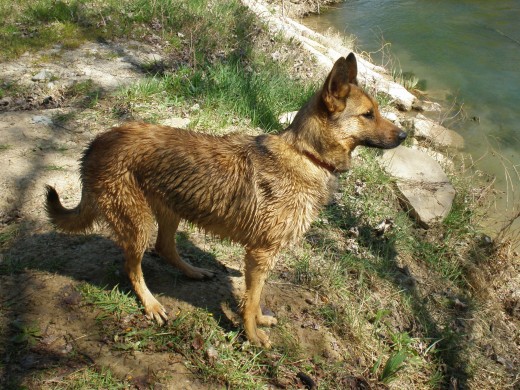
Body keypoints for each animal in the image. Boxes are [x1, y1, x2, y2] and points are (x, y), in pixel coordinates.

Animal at [45, 52, 406, 348]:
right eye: (369, 114)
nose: (404, 136)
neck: (308, 155)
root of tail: (95, 144)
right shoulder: (260, 255)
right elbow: (250, 299)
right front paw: (252, 334)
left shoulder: (261, 257)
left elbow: (253, 298)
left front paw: (257, 321)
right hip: (138, 224)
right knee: (133, 268)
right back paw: (151, 304)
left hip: (171, 208)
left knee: (165, 247)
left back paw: (193, 272)